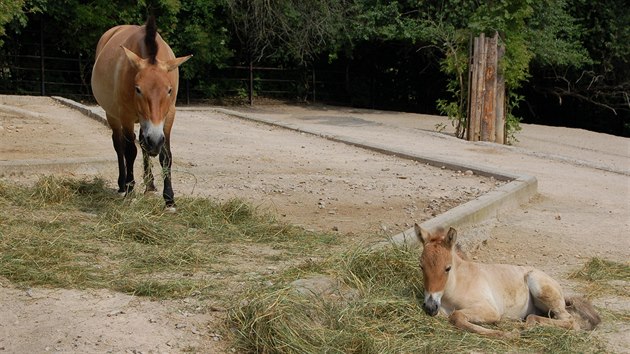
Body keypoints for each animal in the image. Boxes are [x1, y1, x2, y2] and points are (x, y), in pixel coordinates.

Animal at [91, 15, 190, 210]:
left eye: (169, 90)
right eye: (138, 89)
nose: (155, 140)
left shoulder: (168, 116)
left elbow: (165, 156)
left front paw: (169, 199)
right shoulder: (126, 116)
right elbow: (130, 151)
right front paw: (130, 191)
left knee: (144, 144)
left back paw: (150, 185)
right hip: (112, 116)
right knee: (119, 145)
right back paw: (123, 185)